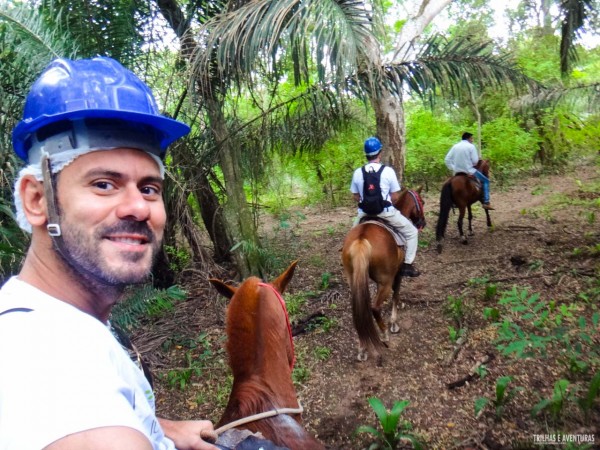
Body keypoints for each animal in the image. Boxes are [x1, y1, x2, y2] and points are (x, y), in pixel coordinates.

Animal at [342, 186, 426, 362]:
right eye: (422, 201)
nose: (422, 222)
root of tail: (361, 240)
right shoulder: (398, 272)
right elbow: (396, 293)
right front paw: (394, 322)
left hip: (353, 278)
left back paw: (362, 347)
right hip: (385, 280)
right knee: (374, 307)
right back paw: (384, 333)